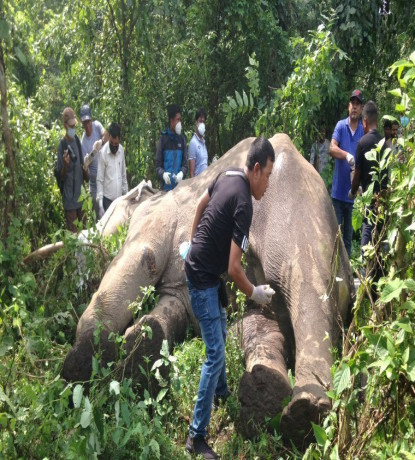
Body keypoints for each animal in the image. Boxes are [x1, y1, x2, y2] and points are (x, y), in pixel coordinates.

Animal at [62, 134, 354, 450]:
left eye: (111, 211)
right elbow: (173, 306)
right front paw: (141, 348)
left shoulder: (152, 220)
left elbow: (142, 257)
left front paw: (82, 364)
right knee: (269, 321)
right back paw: (277, 402)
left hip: (298, 211)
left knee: (307, 283)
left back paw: (305, 410)